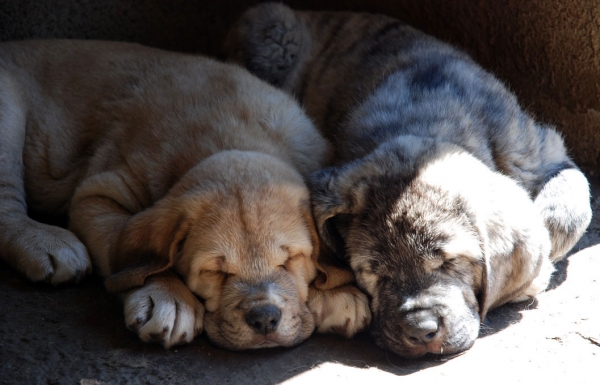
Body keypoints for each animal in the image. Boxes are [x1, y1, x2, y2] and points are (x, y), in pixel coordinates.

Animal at [0, 40, 370, 350]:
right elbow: (131, 255)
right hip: (8, 113)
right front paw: (168, 297)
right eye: (215, 271)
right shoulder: (99, 193)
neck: (233, 135)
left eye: (290, 259)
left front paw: (337, 291)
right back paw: (44, 241)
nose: (264, 319)